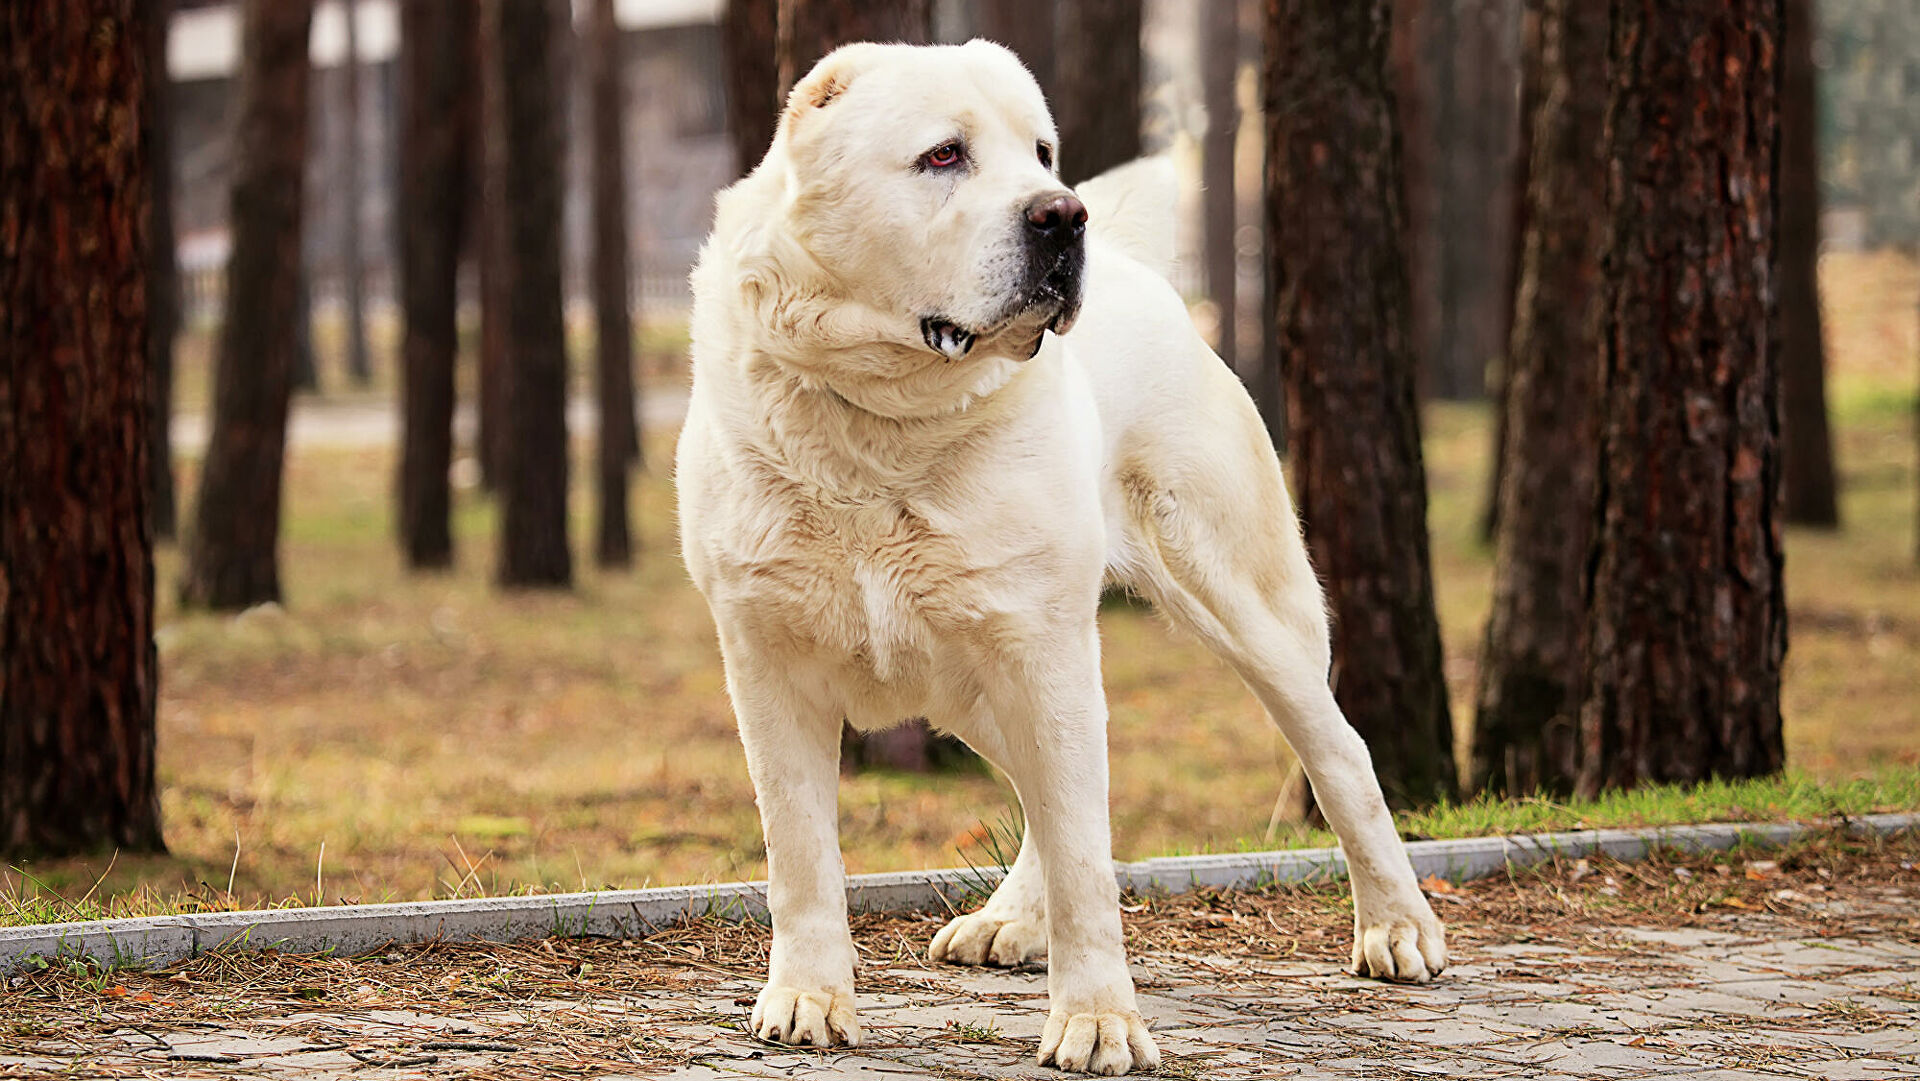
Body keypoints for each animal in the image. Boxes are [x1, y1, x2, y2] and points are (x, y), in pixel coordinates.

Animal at [675, 40, 1443, 1075]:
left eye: (1041, 151)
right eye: (944, 155)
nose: (1061, 211)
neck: (883, 424)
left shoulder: (1043, 649)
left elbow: (1085, 856)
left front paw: (1098, 1020)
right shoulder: (768, 661)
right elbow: (799, 852)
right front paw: (808, 997)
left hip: (1238, 606)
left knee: (1339, 753)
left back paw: (1398, 927)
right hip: (979, 677)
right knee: (1044, 793)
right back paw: (1007, 921)